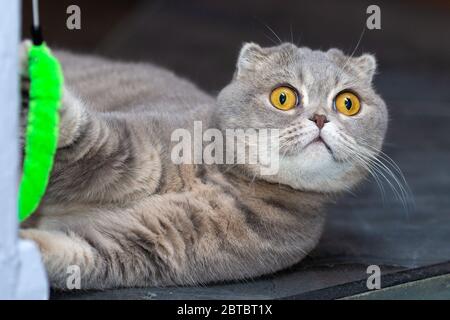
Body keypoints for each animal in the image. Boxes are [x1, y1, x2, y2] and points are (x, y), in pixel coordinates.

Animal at [19, 40, 388, 290]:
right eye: (283, 97)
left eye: (349, 102)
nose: (321, 118)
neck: (217, 178)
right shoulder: (128, 149)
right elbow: (82, 139)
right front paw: (35, 83)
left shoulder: (149, 244)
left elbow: (70, 252)